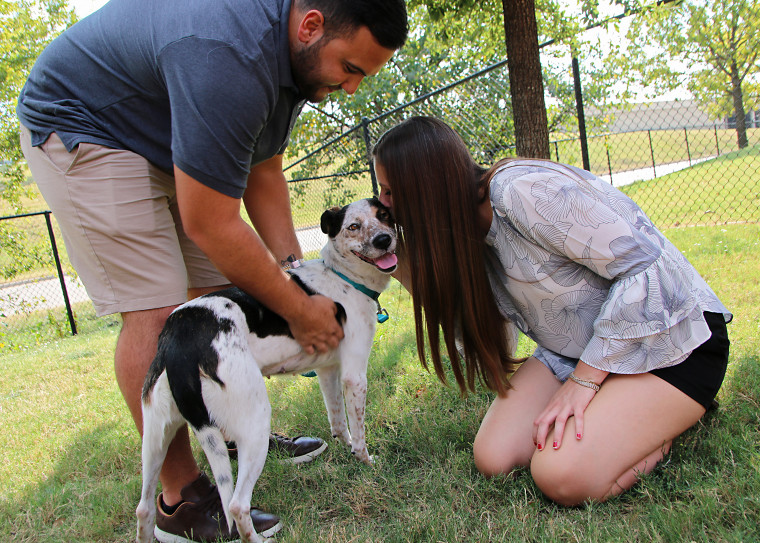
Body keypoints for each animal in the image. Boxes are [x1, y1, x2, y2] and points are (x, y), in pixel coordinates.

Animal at [136, 200, 398, 543]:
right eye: (352, 226)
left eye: (384, 215)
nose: (384, 240)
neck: (341, 276)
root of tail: (179, 336)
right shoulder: (354, 375)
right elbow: (360, 431)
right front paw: (366, 461)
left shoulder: (328, 370)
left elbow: (339, 423)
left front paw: (347, 451)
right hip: (255, 421)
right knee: (236, 505)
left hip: (156, 436)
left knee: (144, 508)